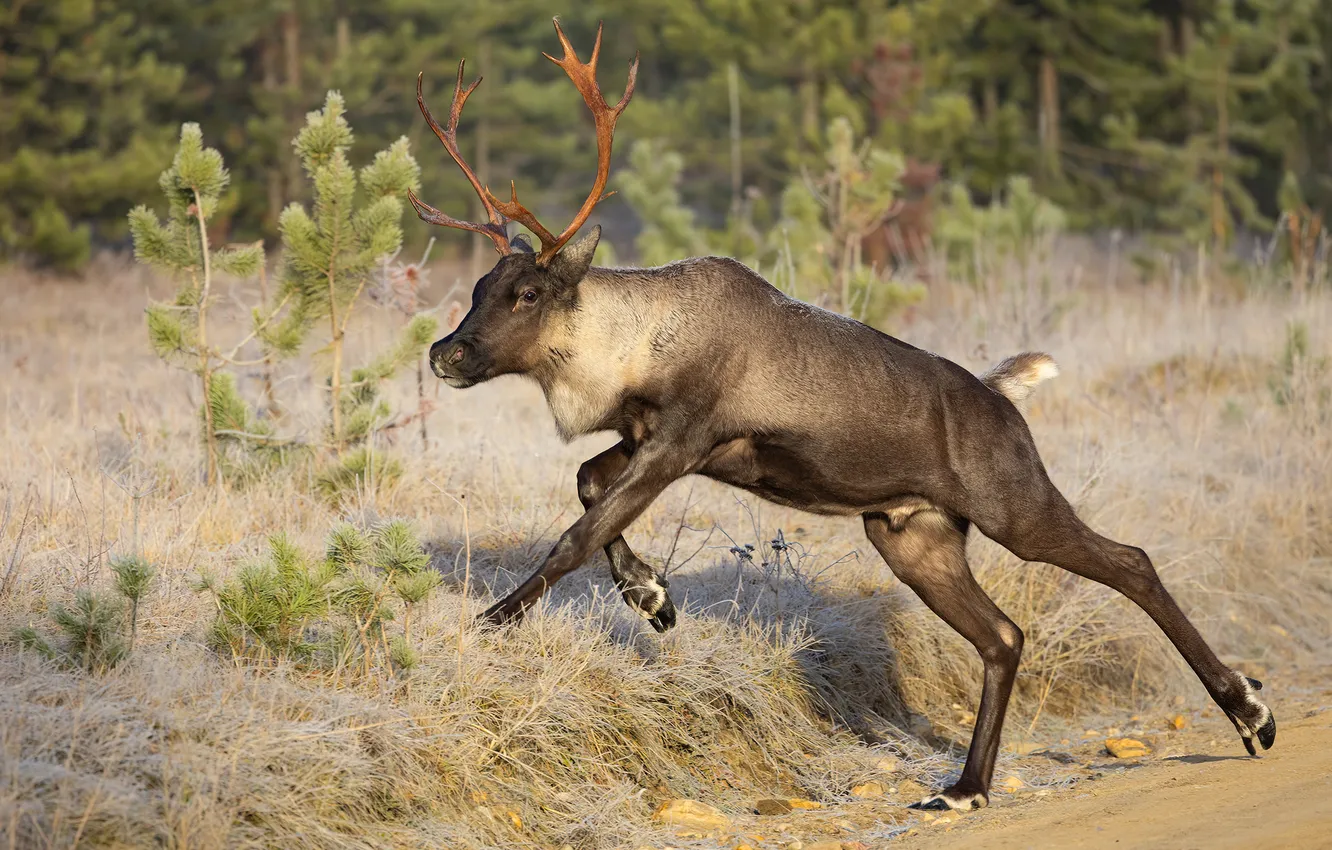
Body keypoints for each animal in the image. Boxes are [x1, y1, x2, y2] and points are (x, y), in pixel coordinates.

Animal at [407, 18, 1277, 812]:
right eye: (480, 286)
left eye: (527, 292)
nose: (445, 353)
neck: (629, 349)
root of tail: (1002, 396)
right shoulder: (648, 437)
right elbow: (589, 485)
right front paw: (651, 596)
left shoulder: (685, 436)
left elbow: (577, 533)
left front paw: (495, 619)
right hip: (910, 533)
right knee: (1004, 635)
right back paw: (965, 787)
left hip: (1012, 502)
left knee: (1130, 561)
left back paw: (1250, 713)